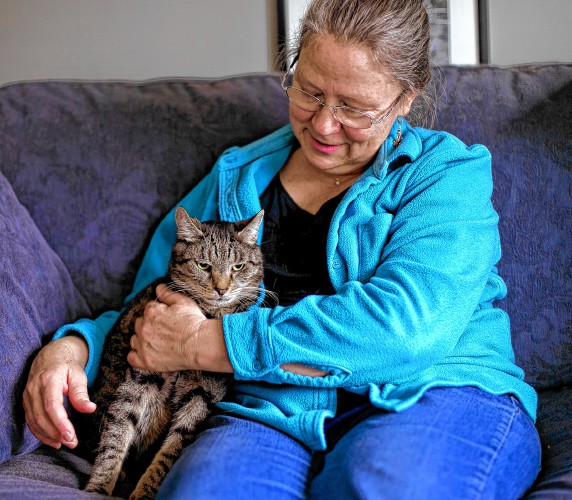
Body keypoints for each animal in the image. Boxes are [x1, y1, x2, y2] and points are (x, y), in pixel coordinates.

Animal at [82, 206, 264, 496]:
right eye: (203, 265)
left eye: (238, 266)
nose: (221, 289)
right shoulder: (138, 377)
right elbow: (116, 435)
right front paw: (99, 486)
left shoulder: (201, 396)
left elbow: (169, 453)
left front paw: (143, 492)